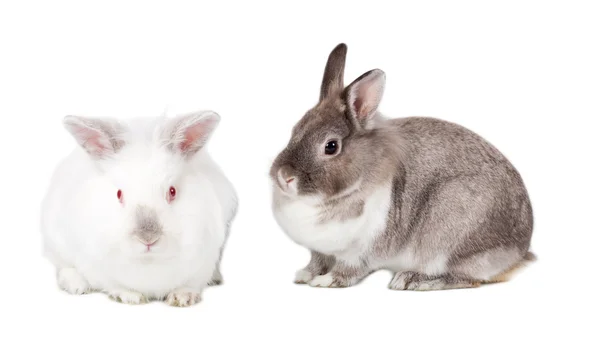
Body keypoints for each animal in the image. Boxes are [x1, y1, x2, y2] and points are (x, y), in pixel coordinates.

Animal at [38, 110, 237, 306]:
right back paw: (77, 285)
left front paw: (182, 297)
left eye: (172, 191)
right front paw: (129, 296)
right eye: (119, 194)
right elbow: (113, 284)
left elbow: (191, 283)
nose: (148, 238)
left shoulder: (204, 261)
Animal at [270, 43, 532, 290]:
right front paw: (305, 275)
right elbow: (316, 262)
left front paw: (326, 281)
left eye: (331, 146)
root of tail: (520, 250)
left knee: (465, 278)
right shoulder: (320, 251)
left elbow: (347, 271)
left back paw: (410, 280)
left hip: (450, 234)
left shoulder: (361, 252)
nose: (284, 177)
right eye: (295, 130)